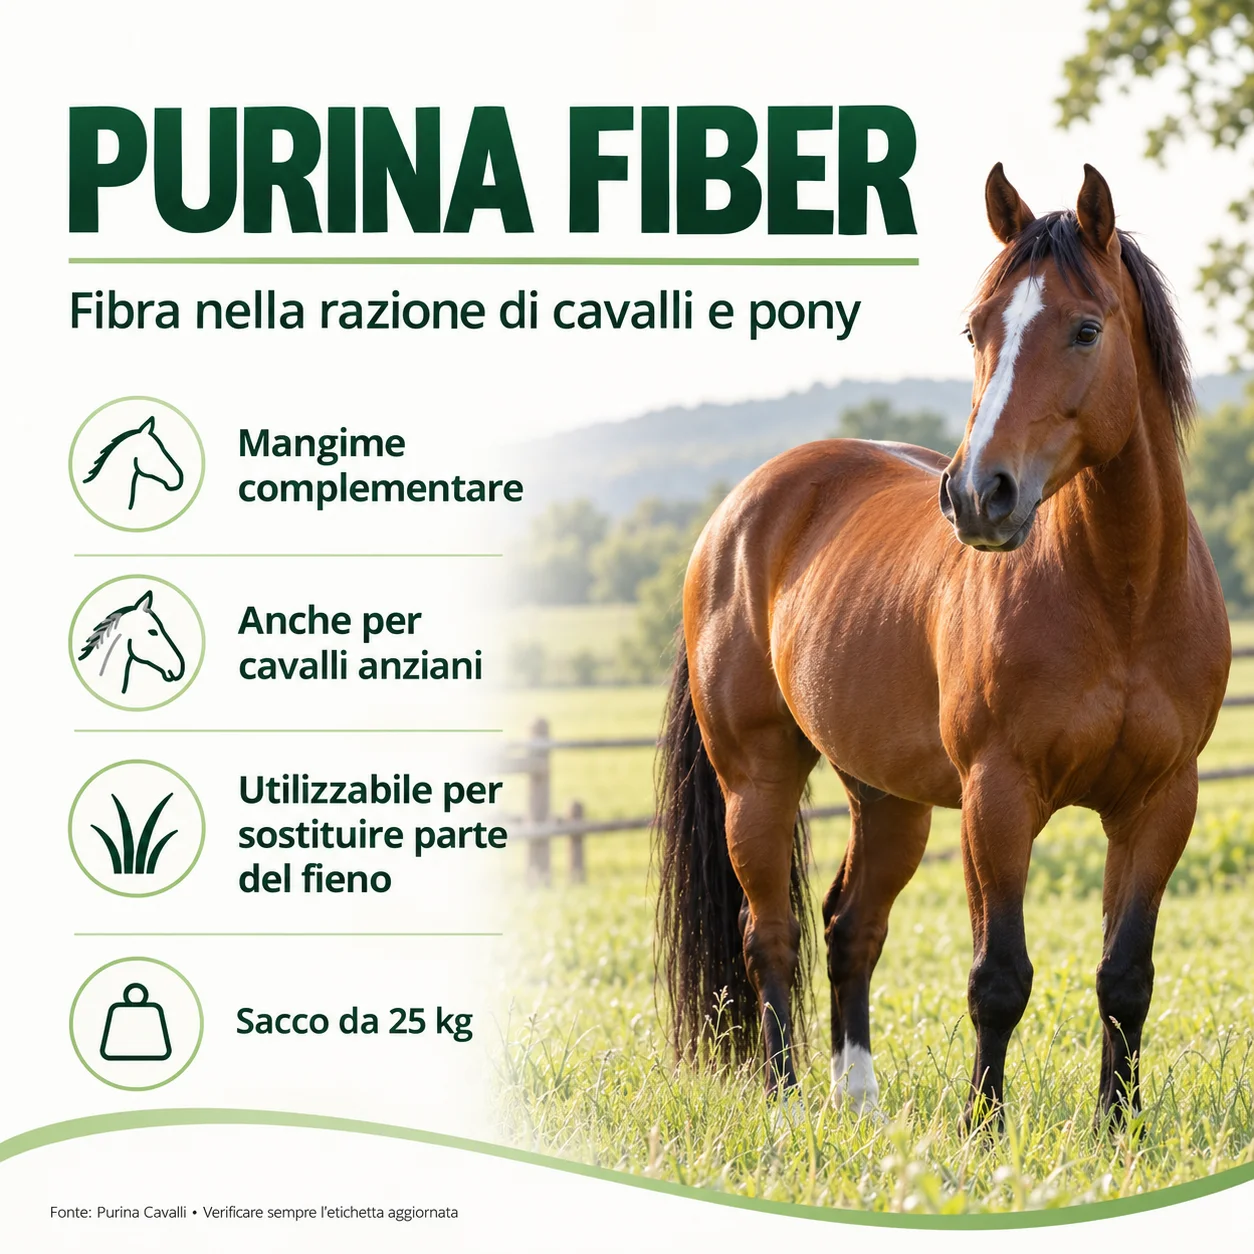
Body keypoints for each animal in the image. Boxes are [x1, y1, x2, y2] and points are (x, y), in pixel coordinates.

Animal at [655, 164, 1231, 1129]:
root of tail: (735, 515)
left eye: (1086, 328)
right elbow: (998, 977)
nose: (976, 496)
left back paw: (859, 1102)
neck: (1120, 596)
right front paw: (984, 1128)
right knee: (770, 934)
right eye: (976, 328)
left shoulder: (1160, 803)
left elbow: (1126, 977)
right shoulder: (997, 795)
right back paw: (784, 1099)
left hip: (890, 799)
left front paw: (1120, 1128)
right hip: (757, 779)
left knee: (850, 926)